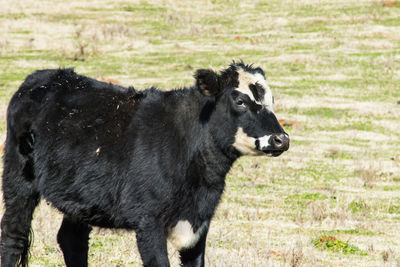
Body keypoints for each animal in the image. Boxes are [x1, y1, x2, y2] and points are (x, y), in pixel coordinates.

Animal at [0, 61, 288, 266]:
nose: (281, 139)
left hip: (80, 196)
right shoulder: (148, 221)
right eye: (240, 100)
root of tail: (41, 78)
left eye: (271, 101)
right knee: (13, 236)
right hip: (18, 179)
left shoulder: (199, 225)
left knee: (72, 240)